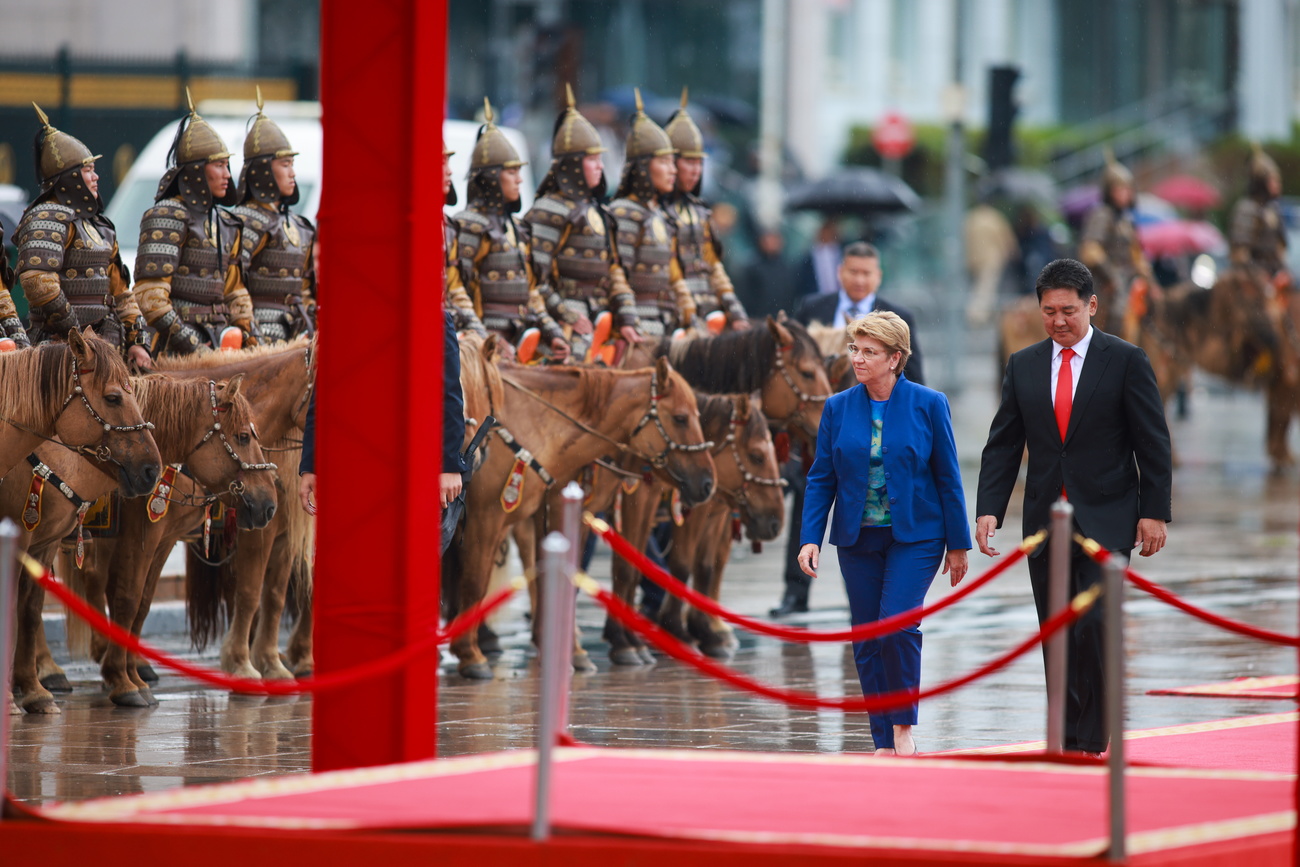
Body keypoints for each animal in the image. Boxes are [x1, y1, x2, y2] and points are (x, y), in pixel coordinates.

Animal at [10, 374, 275, 712]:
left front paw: (130, 676)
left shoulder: (159, 541)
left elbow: (140, 603)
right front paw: (123, 682)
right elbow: (126, 599)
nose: (270, 504)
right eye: (242, 437)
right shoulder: (137, 534)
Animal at [444, 356, 712, 681]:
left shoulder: (554, 514)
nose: (708, 483)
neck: (533, 422)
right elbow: (475, 582)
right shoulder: (488, 518)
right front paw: (470, 655)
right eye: (680, 418)